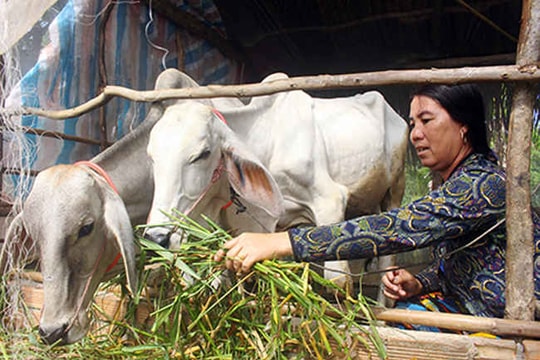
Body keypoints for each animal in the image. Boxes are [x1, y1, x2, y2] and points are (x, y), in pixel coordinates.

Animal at [146, 71, 408, 292]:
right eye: (151, 156)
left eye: (203, 153)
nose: (157, 238)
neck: (268, 142)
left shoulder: (330, 202)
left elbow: (338, 282)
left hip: (395, 189)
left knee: (389, 263)